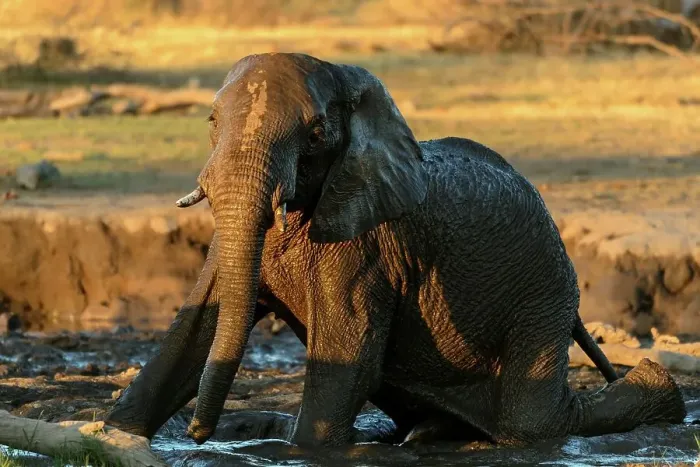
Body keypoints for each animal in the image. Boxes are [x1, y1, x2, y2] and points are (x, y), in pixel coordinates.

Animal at [105, 52, 686, 448]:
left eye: (315, 133)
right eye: (210, 123)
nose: (199, 434)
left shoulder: (365, 245)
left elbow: (348, 359)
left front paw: (303, 449)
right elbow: (189, 334)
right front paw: (114, 434)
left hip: (544, 288)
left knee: (532, 420)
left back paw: (660, 389)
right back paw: (422, 434)